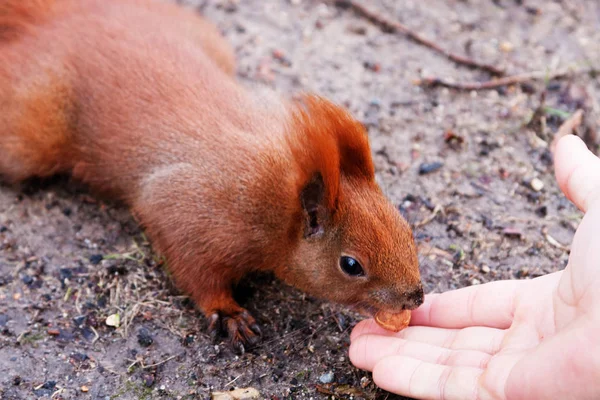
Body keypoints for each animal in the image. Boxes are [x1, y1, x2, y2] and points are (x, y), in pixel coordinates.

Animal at [0, 0, 424, 352]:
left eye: (407, 229)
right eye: (351, 265)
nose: (415, 297)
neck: (279, 203)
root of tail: (66, 17)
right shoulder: (194, 211)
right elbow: (194, 269)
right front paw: (228, 313)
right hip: (31, 131)